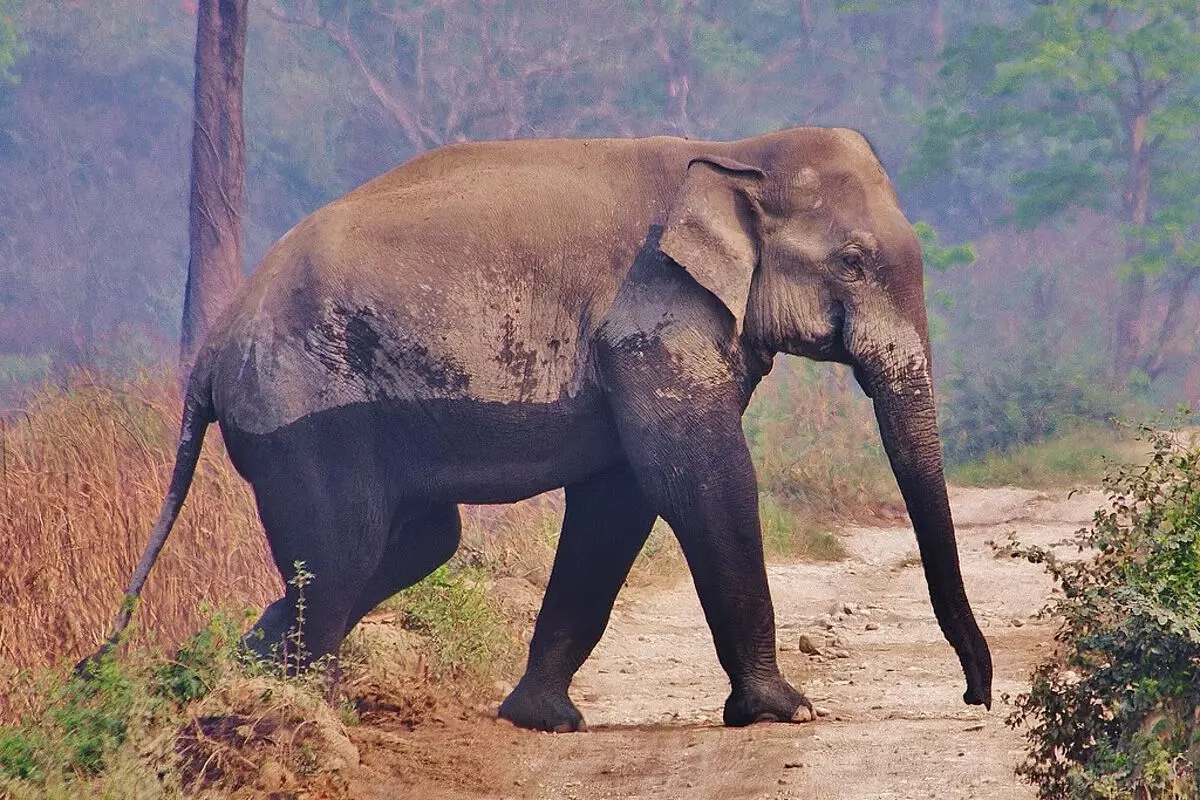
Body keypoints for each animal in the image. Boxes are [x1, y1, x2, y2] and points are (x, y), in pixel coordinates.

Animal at [93, 123, 993, 734]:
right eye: (853, 264)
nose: (975, 697)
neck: (737, 149)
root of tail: (212, 351)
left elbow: (621, 499)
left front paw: (541, 719)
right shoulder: (654, 316)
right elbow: (699, 479)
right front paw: (784, 712)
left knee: (415, 543)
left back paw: (238, 686)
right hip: (303, 418)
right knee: (345, 554)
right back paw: (298, 713)